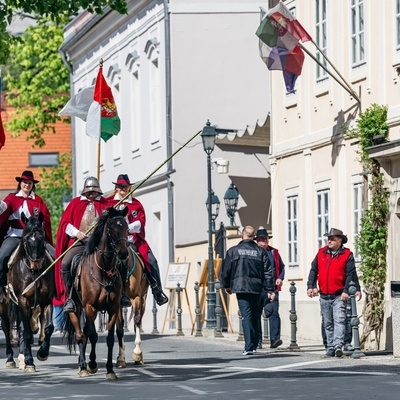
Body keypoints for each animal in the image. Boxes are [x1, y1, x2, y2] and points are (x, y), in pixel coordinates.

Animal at [6, 212, 54, 372]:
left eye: (41, 237)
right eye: (27, 239)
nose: (36, 264)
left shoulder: (46, 300)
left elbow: (48, 328)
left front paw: (43, 352)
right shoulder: (23, 301)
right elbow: (26, 333)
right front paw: (29, 361)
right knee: (7, 327)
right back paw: (11, 358)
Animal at [65, 208, 129, 380]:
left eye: (127, 227)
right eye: (112, 228)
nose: (123, 254)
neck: (104, 270)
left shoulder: (113, 308)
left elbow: (109, 339)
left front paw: (110, 370)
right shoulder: (90, 307)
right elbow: (92, 336)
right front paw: (92, 364)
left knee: (84, 334)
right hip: (76, 308)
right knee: (80, 334)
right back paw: (83, 366)